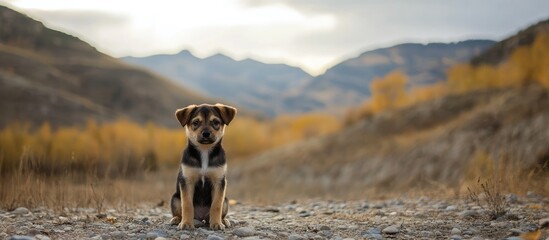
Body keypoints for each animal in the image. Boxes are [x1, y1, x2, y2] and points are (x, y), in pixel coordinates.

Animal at [168, 103, 234, 231]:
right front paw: (186, 223)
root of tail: (201, 217)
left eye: (216, 122)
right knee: (179, 211)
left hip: (226, 200)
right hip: (175, 198)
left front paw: (217, 223)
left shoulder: (219, 181)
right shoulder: (187, 181)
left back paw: (223, 220)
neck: (204, 151)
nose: (206, 134)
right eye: (196, 122)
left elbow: (216, 205)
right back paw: (177, 219)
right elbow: (187, 204)